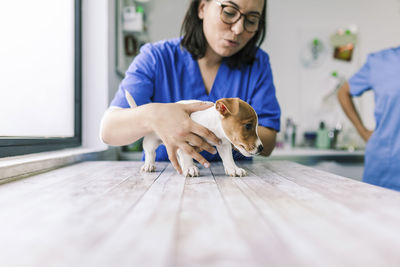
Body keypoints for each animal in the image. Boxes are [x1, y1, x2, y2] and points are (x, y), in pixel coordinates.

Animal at [125, 91, 262, 177]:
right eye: (248, 126)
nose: (261, 148)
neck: (210, 123)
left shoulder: (223, 144)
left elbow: (228, 158)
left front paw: (234, 169)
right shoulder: (182, 140)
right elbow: (186, 155)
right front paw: (190, 168)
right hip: (151, 142)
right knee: (150, 153)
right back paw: (149, 165)